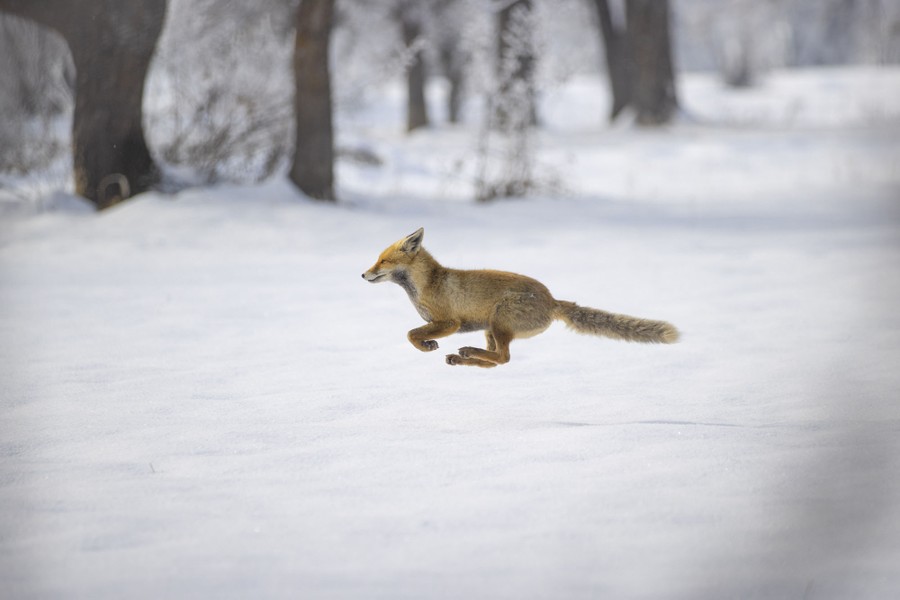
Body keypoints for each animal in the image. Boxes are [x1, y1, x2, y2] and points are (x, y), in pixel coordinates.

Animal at [362, 228, 679, 368]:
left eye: (383, 261)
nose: (363, 275)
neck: (425, 285)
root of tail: (552, 300)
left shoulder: (449, 322)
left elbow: (410, 334)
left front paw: (426, 346)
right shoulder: (445, 323)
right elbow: (412, 333)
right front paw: (429, 346)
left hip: (498, 321)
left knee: (503, 357)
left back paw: (466, 352)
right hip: (490, 328)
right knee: (498, 361)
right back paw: (463, 357)